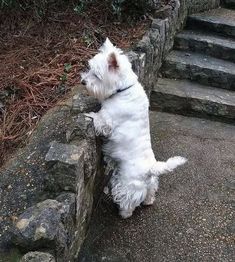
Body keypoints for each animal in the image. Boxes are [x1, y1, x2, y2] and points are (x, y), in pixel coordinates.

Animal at [81, 38, 187, 219]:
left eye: (96, 75)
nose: (83, 82)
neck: (124, 89)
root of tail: (150, 170)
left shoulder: (108, 120)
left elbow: (99, 120)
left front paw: (88, 115)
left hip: (127, 184)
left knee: (128, 200)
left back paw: (123, 213)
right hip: (150, 183)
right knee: (150, 192)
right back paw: (148, 201)